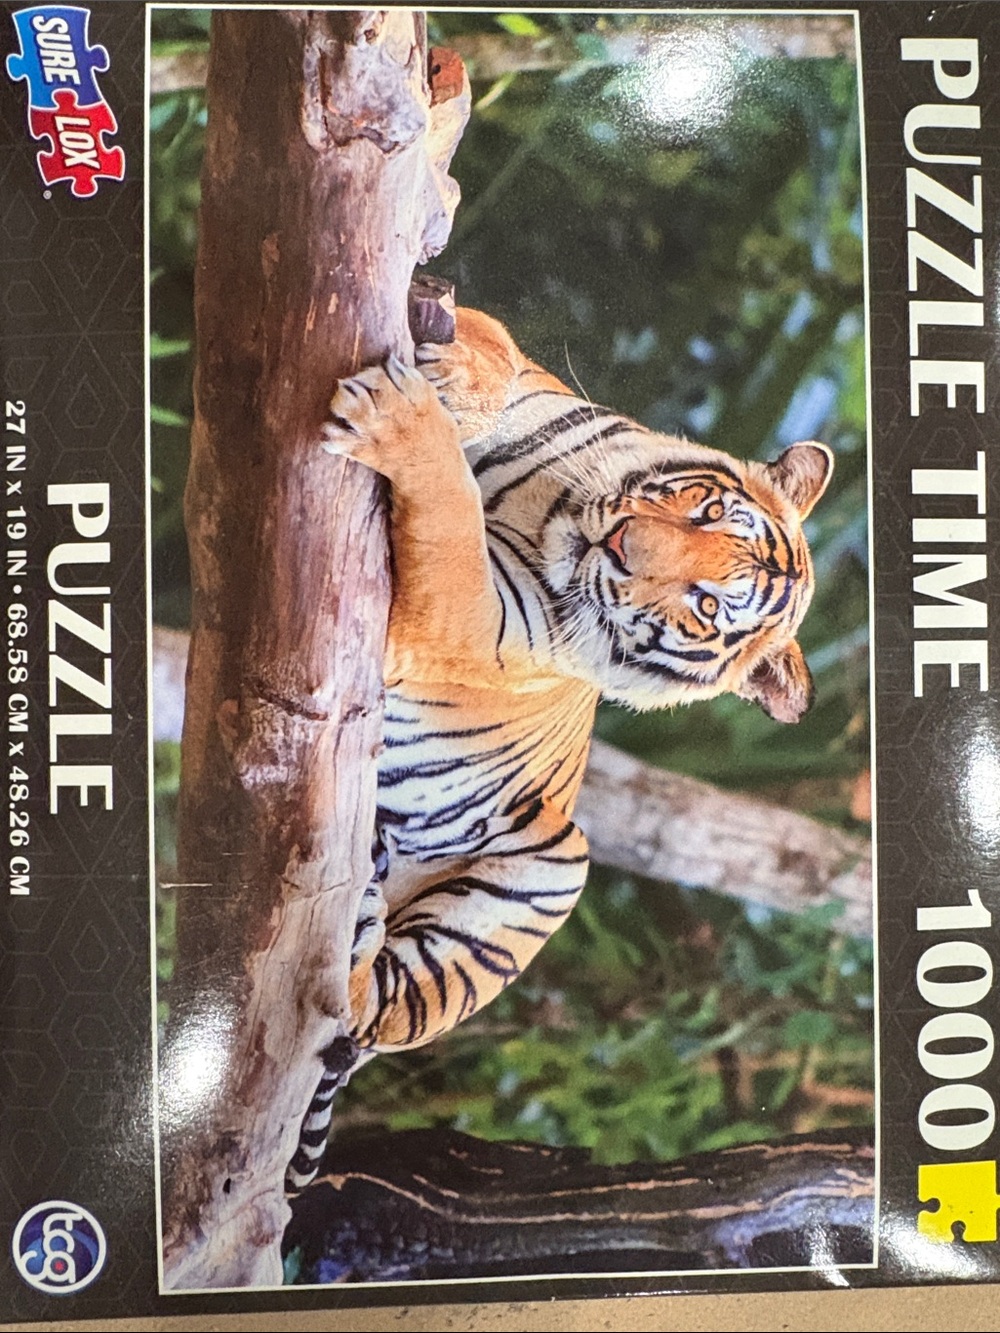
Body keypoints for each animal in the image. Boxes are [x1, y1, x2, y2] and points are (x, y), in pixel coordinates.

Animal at [285, 306, 833, 1190]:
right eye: (708, 511)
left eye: (708, 605)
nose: (624, 548)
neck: (548, 511)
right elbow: (498, 347)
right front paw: (455, 372)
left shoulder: (471, 623)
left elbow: (449, 518)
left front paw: (402, 421)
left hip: (552, 870)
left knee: (368, 1008)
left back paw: (363, 921)